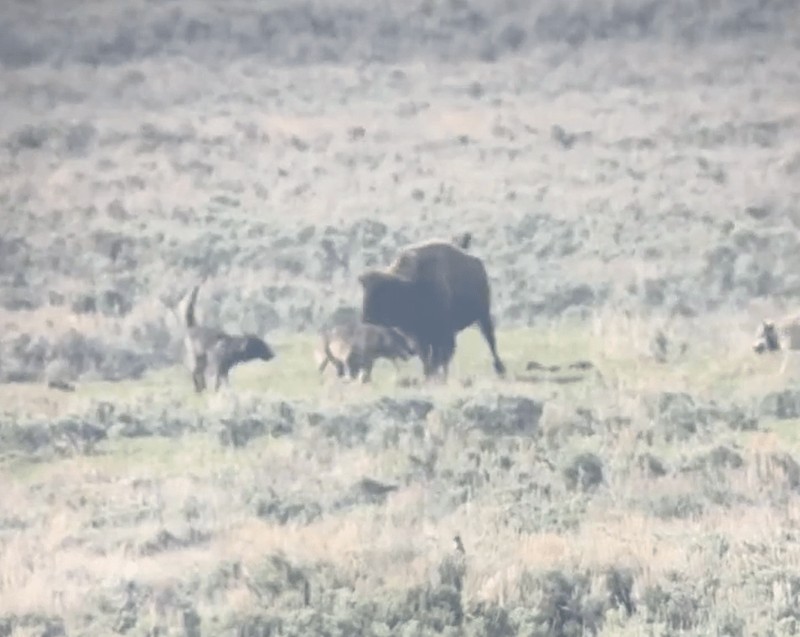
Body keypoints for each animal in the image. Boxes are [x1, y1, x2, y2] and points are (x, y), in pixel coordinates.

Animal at [358, 237, 506, 378]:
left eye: (382, 292)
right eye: (365, 291)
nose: (366, 317)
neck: (408, 286)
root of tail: (477, 264)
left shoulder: (441, 332)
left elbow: (438, 357)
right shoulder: (419, 336)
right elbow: (427, 358)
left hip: (483, 315)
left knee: (490, 340)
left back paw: (500, 369)